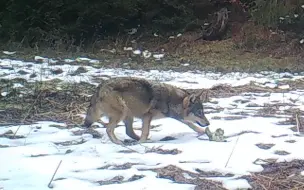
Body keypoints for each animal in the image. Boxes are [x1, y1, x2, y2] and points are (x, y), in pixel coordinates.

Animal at [83, 76, 211, 145]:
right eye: (199, 113)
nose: (208, 123)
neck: (171, 101)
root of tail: (99, 87)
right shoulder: (147, 116)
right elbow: (146, 131)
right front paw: (142, 143)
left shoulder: (177, 117)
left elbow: (191, 124)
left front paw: (202, 131)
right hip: (122, 113)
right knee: (109, 129)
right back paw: (118, 142)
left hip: (128, 116)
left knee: (128, 132)